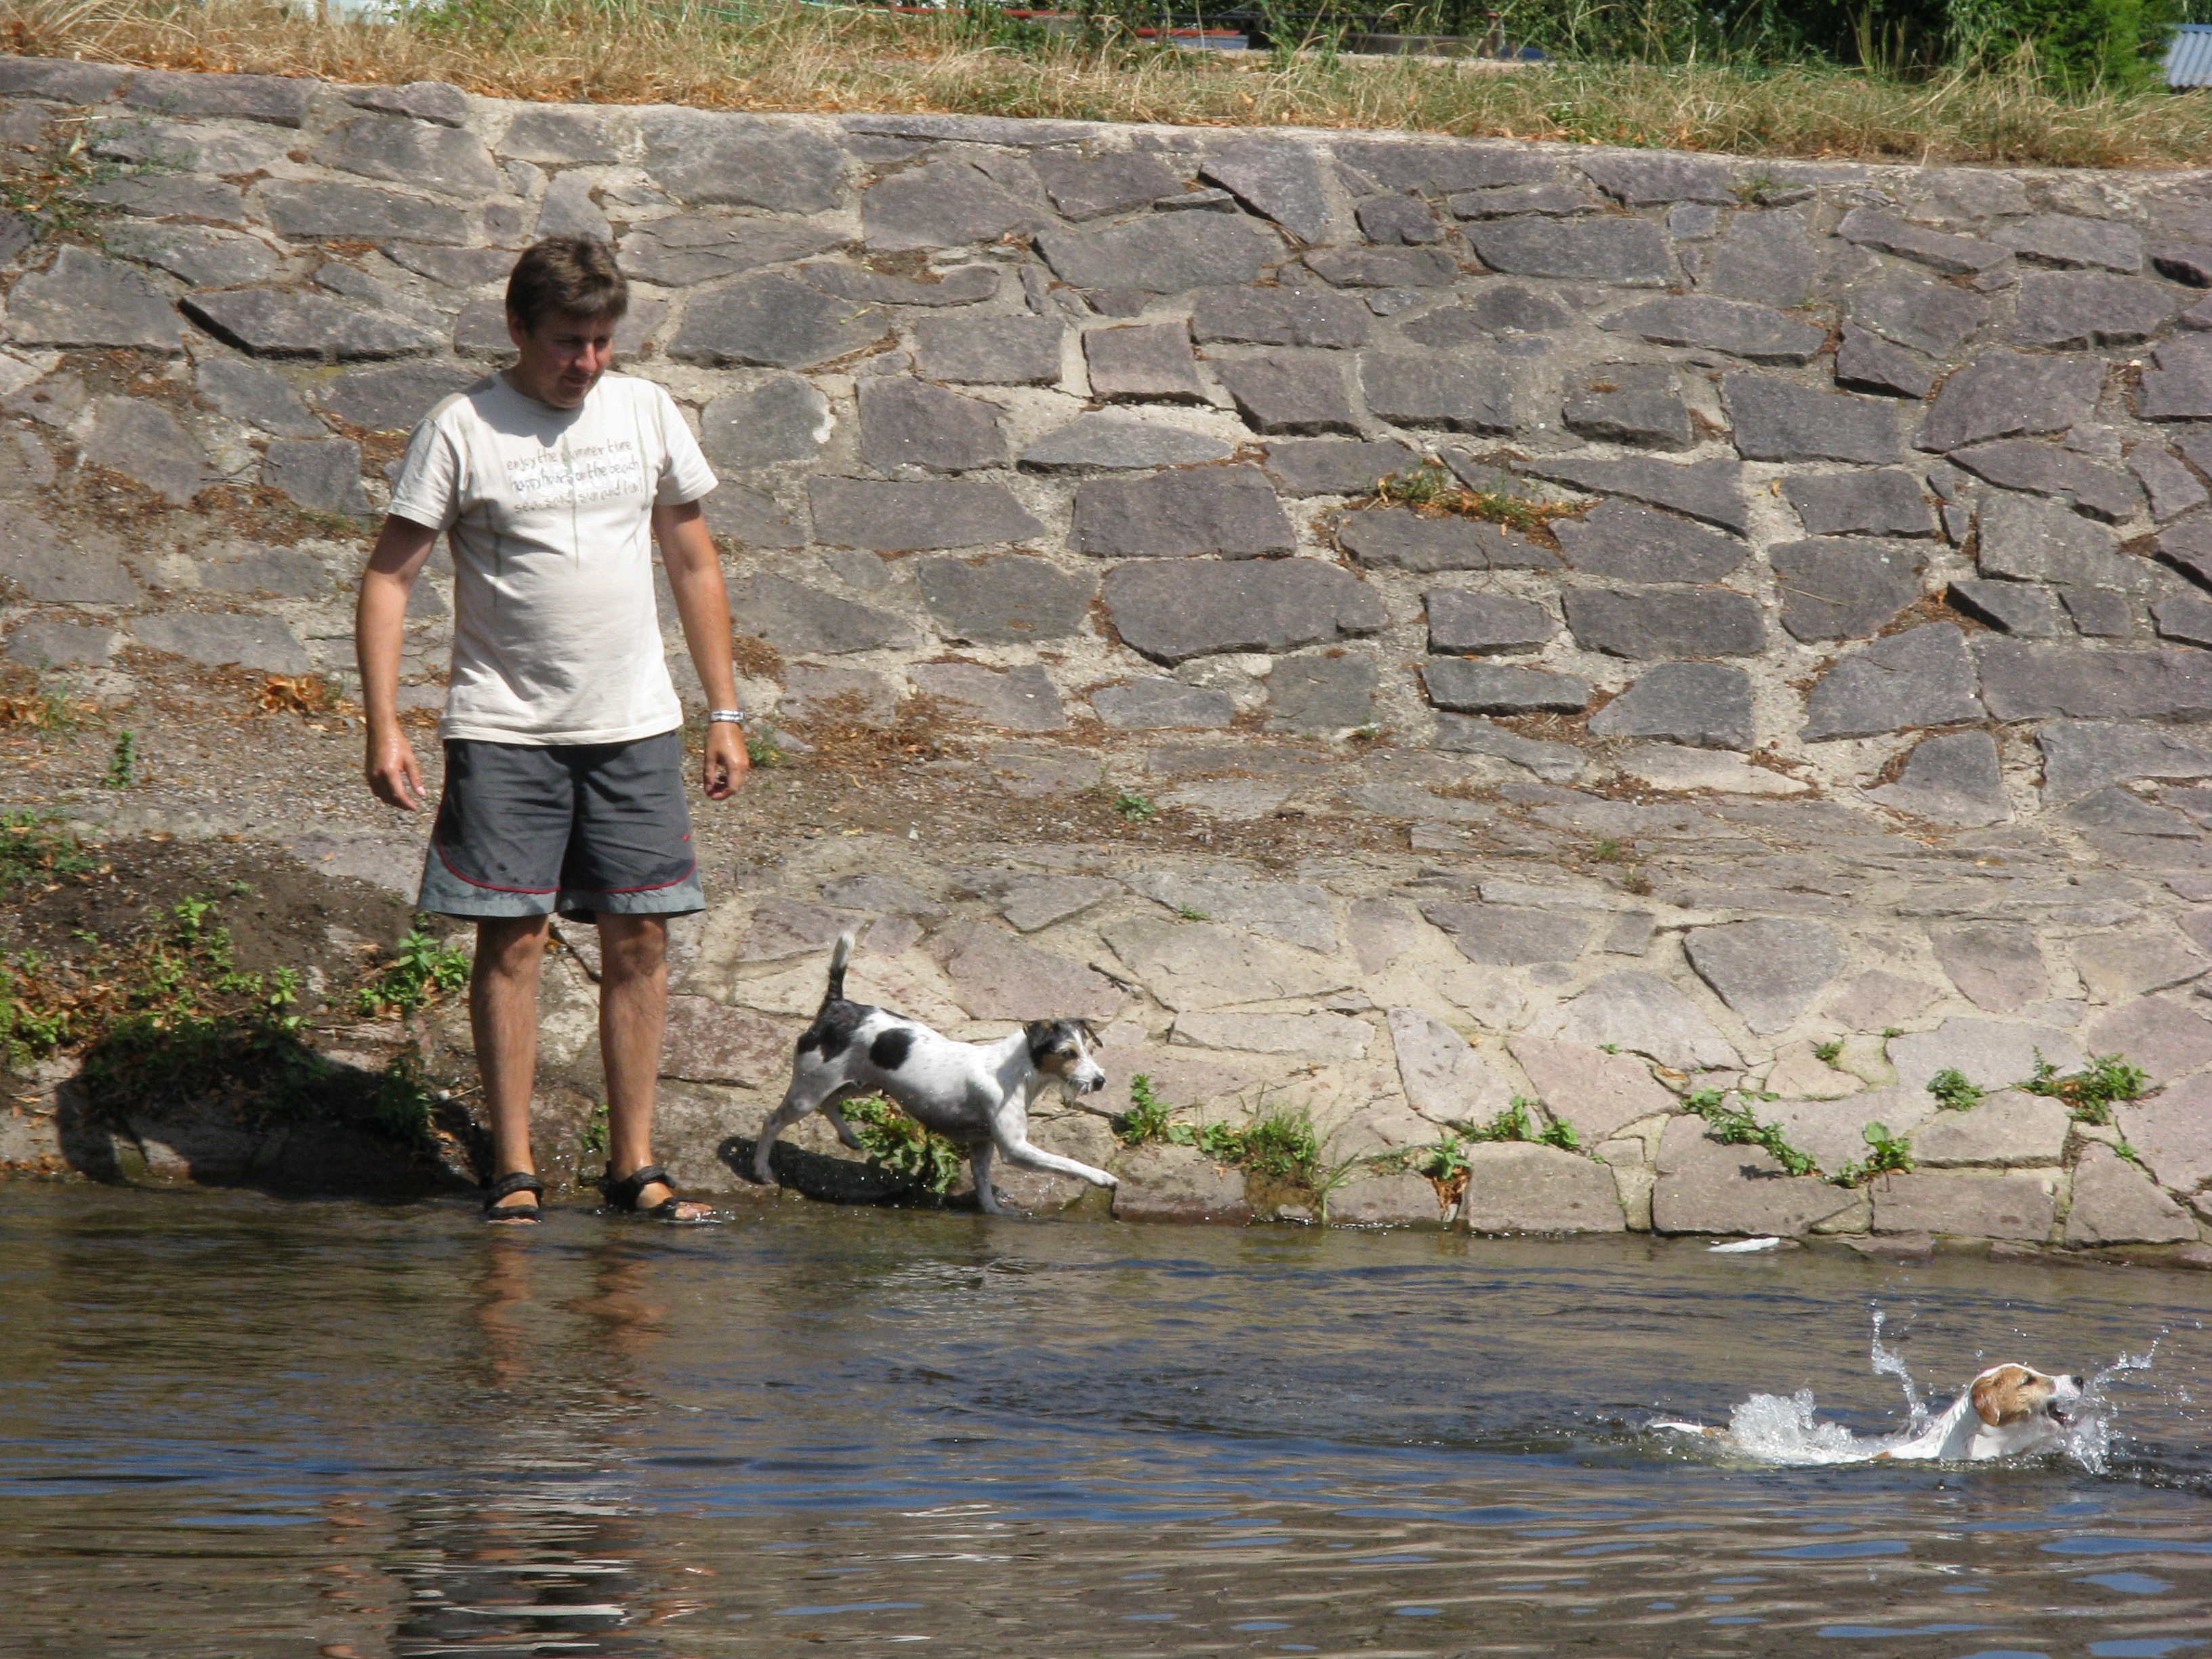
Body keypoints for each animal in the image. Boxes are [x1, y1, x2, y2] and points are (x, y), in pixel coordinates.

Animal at [752, 937, 1124, 1221]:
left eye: (1088, 1048)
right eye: (1067, 1053)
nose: (1101, 1081)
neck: (1016, 1070)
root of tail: (837, 1005)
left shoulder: (982, 1144)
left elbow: (983, 1185)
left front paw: (994, 1212)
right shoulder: (1015, 1149)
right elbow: (1068, 1163)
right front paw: (1102, 1176)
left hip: (861, 1082)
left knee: (831, 1103)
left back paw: (850, 1138)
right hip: (808, 1090)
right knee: (773, 1122)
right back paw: (762, 1171)